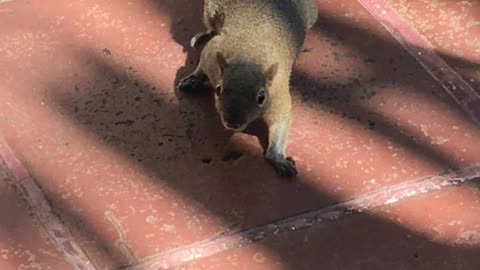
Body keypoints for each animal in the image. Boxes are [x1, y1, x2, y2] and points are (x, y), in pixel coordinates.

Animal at [176, 0, 318, 177]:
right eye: (218, 89)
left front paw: (278, 158)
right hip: (210, 10)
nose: (232, 122)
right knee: (210, 27)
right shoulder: (212, 52)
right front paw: (194, 78)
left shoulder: (279, 95)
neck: (250, 57)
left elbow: (280, 122)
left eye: (261, 97)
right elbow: (201, 64)